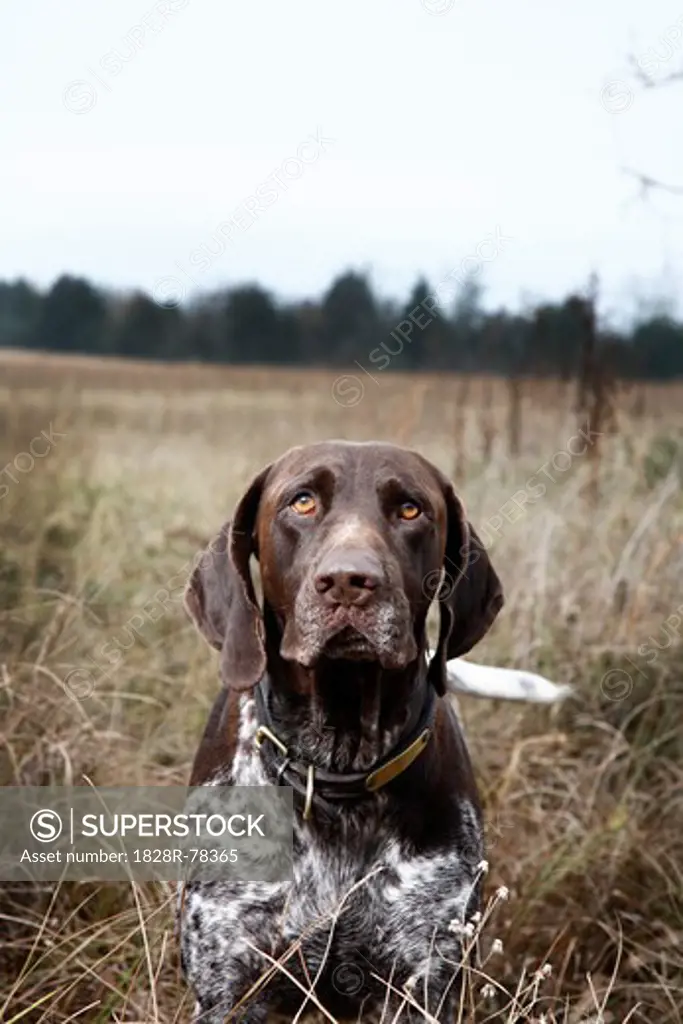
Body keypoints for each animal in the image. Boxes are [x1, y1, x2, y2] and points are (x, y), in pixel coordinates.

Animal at [179, 442, 569, 1024]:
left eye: (410, 509)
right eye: (302, 501)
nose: (348, 580)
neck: (339, 771)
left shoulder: (421, 982)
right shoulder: (230, 985)